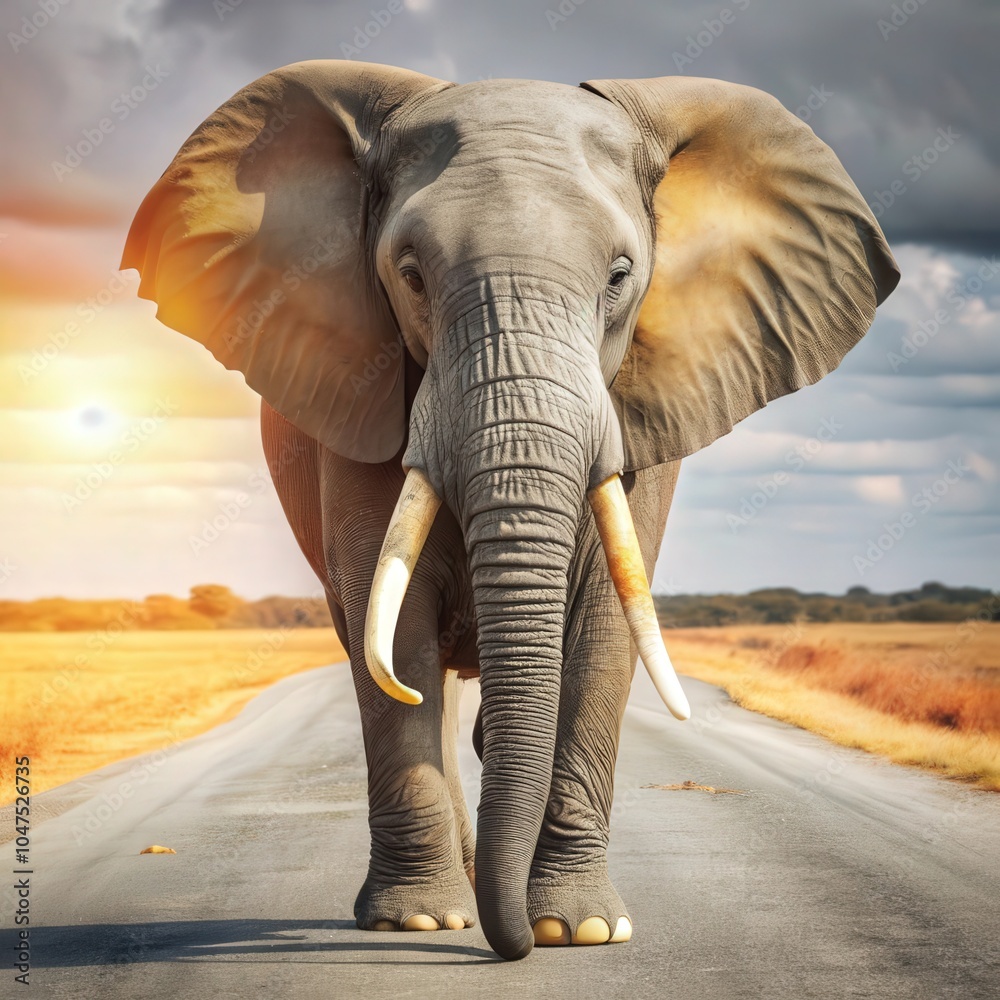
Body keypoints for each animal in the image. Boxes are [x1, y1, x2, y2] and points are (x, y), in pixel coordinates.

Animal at [121, 60, 899, 960]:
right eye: (410, 274)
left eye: (620, 277)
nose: (513, 943)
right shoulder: (360, 397)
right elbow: (396, 631)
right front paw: (420, 920)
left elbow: (604, 623)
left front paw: (580, 927)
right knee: (397, 663)